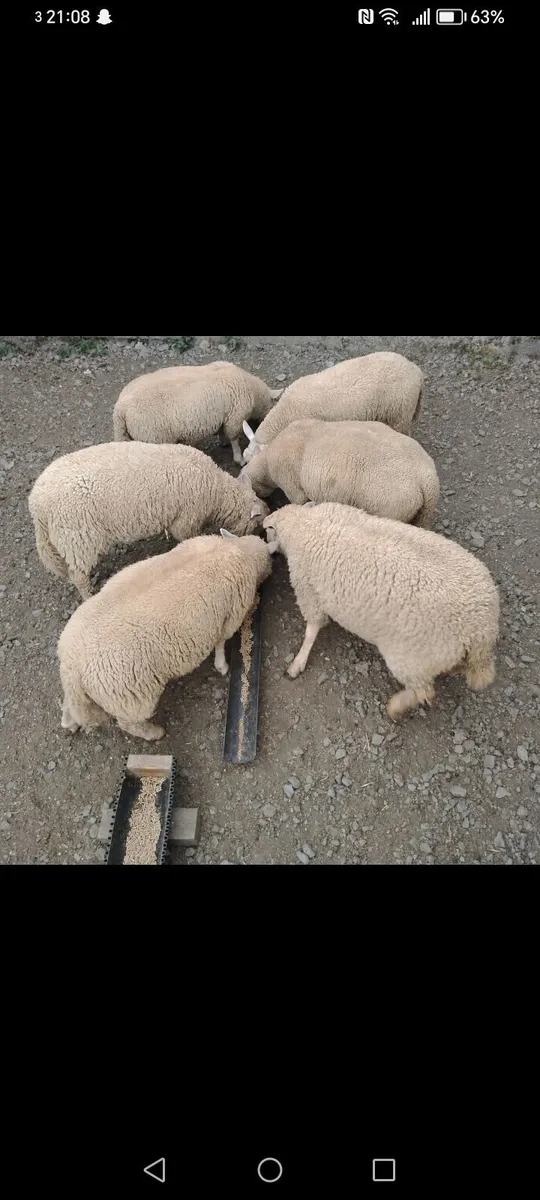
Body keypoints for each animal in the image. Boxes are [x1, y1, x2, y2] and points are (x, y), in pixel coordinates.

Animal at [28, 441, 269, 600]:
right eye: (259, 523)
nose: (261, 538)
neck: (216, 489)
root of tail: (36, 504)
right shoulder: (186, 518)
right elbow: (186, 536)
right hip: (77, 537)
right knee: (78, 576)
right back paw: (89, 595)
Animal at [58, 530, 272, 740]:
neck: (238, 550)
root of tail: (73, 666)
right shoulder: (232, 615)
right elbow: (221, 642)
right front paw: (222, 666)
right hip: (132, 697)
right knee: (130, 724)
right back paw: (155, 733)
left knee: (69, 704)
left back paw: (70, 724)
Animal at [113, 361, 282, 464]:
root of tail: (121, 407)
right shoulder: (235, 417)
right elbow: (234, 439)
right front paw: (238, 458)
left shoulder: (225, 416)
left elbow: (222, 431)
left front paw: (223, 442)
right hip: (152, 436)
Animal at [262, 502, 499, 720]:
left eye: (267, 531)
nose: (267, 547)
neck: (305, 524)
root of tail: (482, 628)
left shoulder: (308, 593)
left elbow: (311, 631)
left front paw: (297, 663)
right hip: (443, 655)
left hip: (410, 660)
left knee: (425, 692)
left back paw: (395, 708)